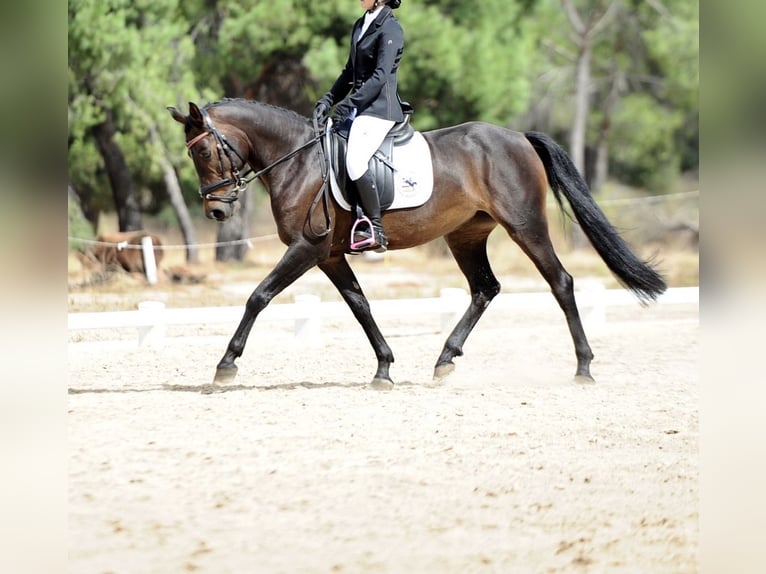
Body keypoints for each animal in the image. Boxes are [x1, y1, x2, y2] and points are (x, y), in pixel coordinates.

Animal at [167, 98, 666, 387]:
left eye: (203, 150)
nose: (217, 212)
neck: (299, 161)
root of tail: (519, 138)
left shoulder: (308, 249)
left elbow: (259, 296)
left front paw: (226, 365)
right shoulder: (330, 255)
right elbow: (360, 305)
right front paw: (384, 368)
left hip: (525, 225)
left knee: (561, 282)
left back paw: (583, 367)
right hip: (466, 234)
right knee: (485, 289)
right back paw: (445, 360)